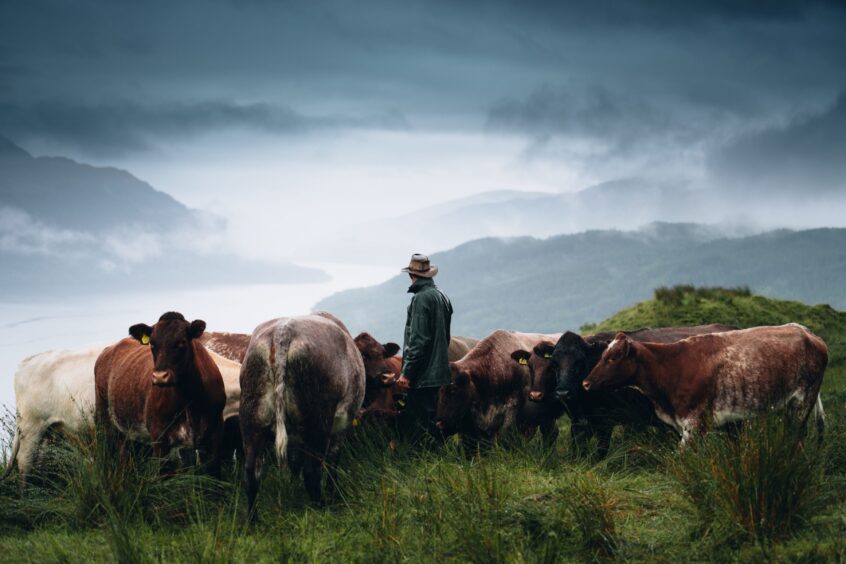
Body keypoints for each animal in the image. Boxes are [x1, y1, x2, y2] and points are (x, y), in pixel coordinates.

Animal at [94, 310, 227, 474]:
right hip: (103, 416)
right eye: (152, 343)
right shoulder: (159, 437)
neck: (190, 399)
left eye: (181, 342)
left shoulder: (214, 434)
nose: (159, 376)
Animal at [238, 316, 364, 516]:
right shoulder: (341, 427)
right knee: (312, 471)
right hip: (318, 421)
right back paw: (322, 508)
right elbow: (332, 463)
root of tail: (282, 332)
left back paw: (253, 520)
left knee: (251, 472)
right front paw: (334, 494)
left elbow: (295, 462)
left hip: (252, 419)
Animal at [584, 324, 828, 448]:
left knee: (798, 433)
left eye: (613, 357)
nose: (585, 383)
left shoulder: (695, 423)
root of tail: (806, 331)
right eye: (602, 355)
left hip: (804, 399)